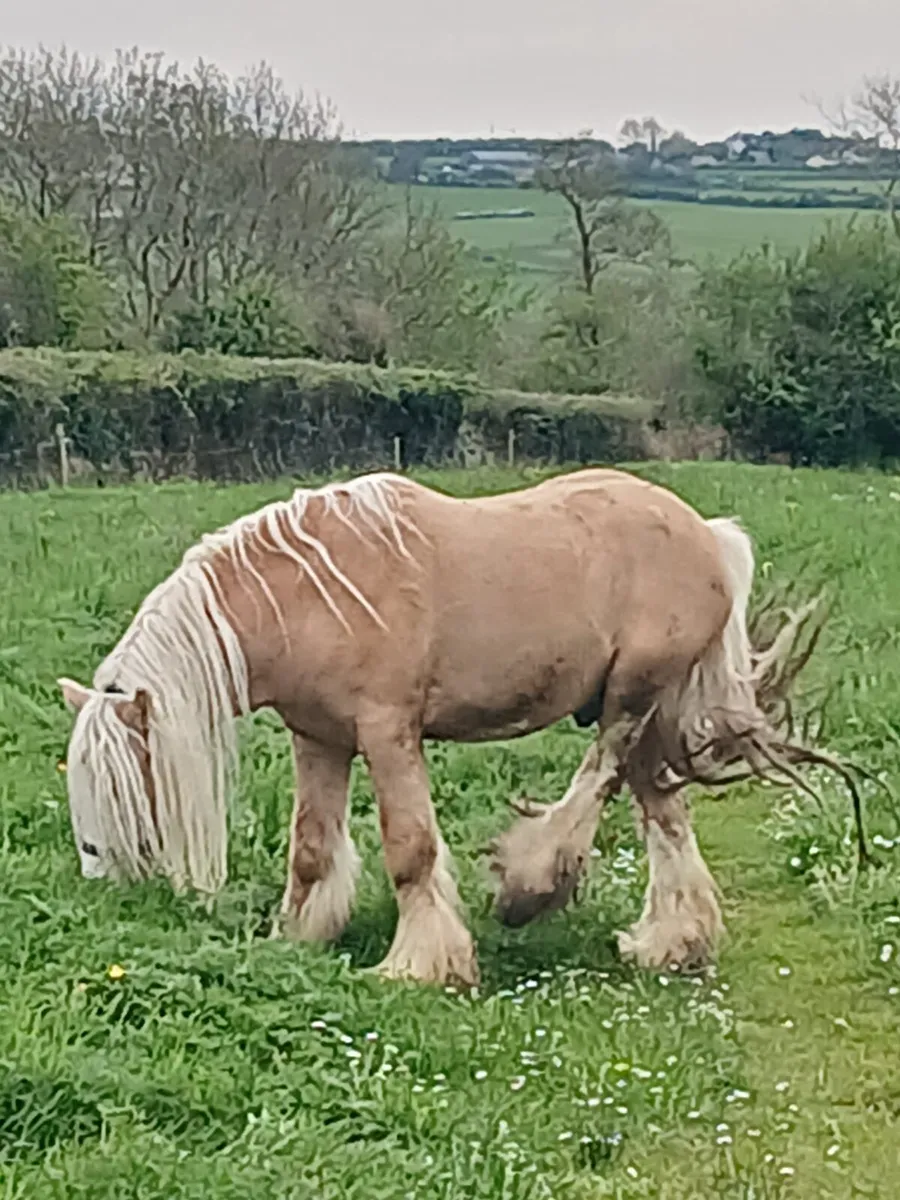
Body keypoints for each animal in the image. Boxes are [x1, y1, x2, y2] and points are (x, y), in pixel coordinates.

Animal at [57, 467, 846, 988]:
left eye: (123, 782)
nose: (99, 876)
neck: (303, 596)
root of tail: (710, 536)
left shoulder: (388, 734)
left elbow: (410, 850)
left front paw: (421, 964)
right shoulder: (320, 739)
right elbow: (310, 851)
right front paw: (301, 935)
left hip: (632, 699)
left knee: (598, 783)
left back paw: (531, 887)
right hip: (648, 714)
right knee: (665, 816)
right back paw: (672, 943)